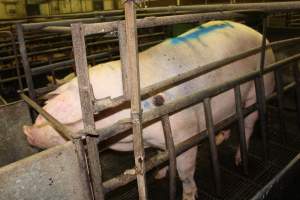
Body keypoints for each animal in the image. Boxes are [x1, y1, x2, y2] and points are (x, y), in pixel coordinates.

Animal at [22, 20, 274, 200]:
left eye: (71, 117)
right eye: (48, 106)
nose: (27, 131)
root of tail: (263, 37)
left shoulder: (186, 131)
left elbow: (185, 171)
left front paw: (187, 196)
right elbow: (162, 155)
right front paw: (159, 174)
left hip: (260, 87)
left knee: (249, 122)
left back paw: (240, 160)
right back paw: (221, 138)